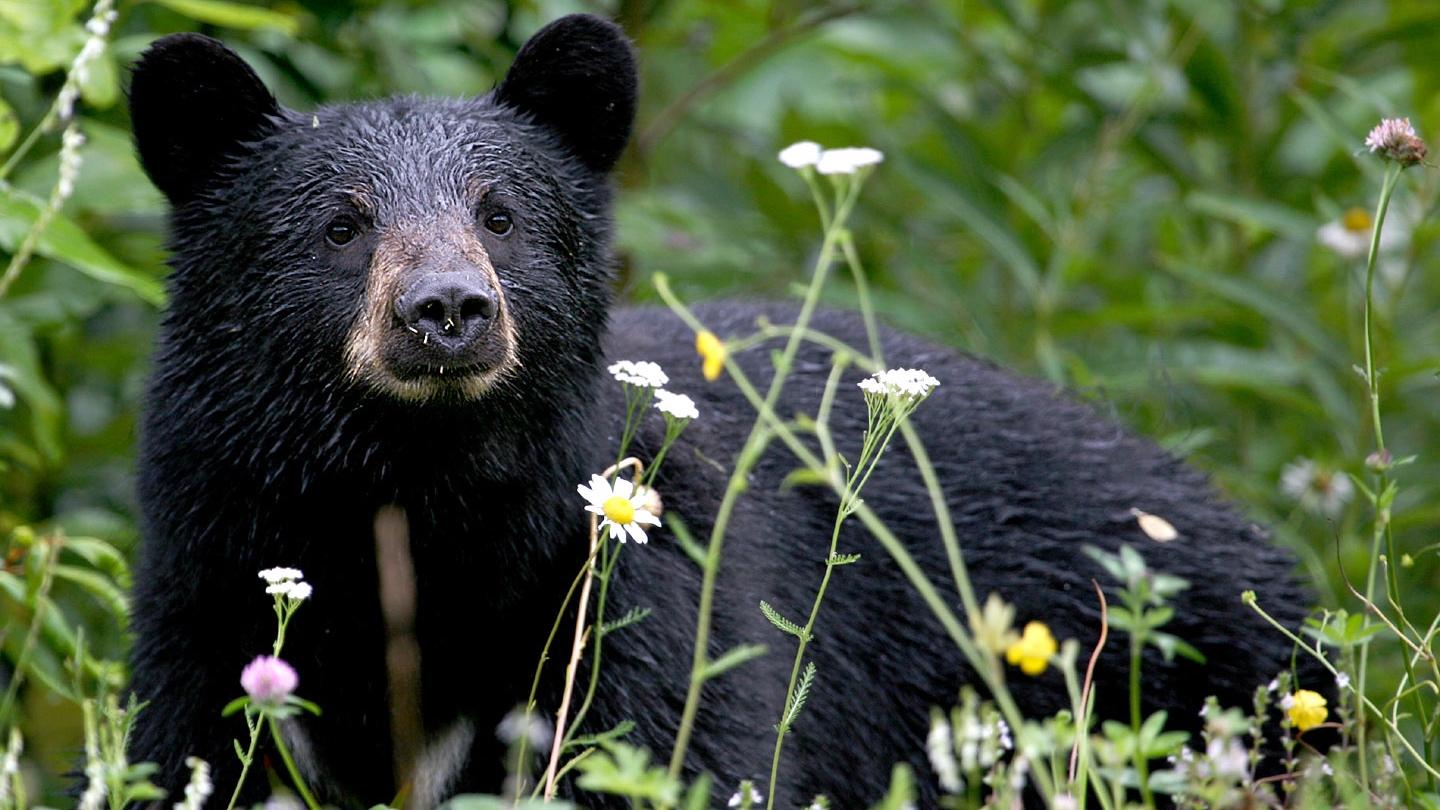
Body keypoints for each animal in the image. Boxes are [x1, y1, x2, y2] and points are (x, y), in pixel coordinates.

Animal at [129, 14, 1319, 807]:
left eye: (501, 216)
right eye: (342, 225)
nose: (449, 310)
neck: (420, 497)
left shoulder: (637, 585)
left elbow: (673, 750)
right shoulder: (211, 573)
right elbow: (190, 750)